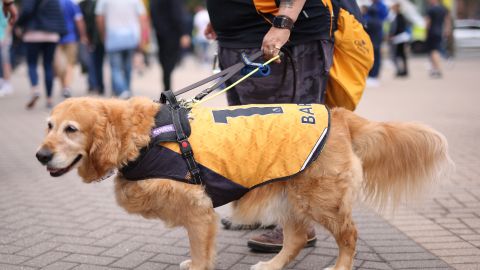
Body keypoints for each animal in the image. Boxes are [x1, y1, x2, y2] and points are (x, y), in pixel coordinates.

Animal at [36, 97, 450, 270]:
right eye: (49, 126)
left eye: (71, 130)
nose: (41, 156)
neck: (145, 136)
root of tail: (340, 115)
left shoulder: (198, 209)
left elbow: (201, 252)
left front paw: (197, 264)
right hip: (288, 193)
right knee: (295, 240)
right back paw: (272, 265)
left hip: (319, 198)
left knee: (348, 235)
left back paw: (341, 268)